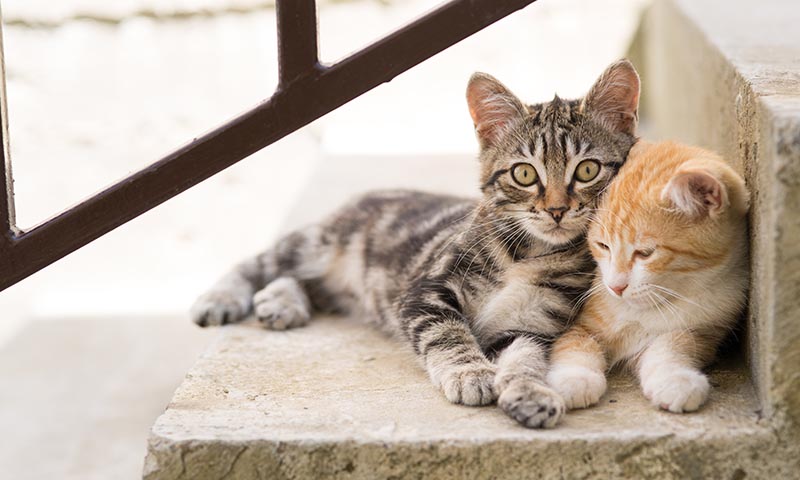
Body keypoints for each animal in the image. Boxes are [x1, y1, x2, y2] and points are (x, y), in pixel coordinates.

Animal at [191, 59, 640, 428]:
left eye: (587, 170)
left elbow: (526, 356)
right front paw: (471, 373)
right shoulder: (426, 290)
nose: (557, 210)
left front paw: (530, 391)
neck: (528, 253)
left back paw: (282, 301)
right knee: (262, 263)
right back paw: (224, 298)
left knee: (307, 283)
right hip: (320, 241)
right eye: (525, 174)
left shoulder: (530, 326)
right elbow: (448, 333)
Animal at [544, 140, 752, 412]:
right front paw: (575, 378)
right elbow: (576, 343)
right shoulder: (578, 323)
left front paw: (675, 379)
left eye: (645, 253)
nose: (615, 287)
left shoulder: (707, 328)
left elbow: (674, 343)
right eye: (603, 245)